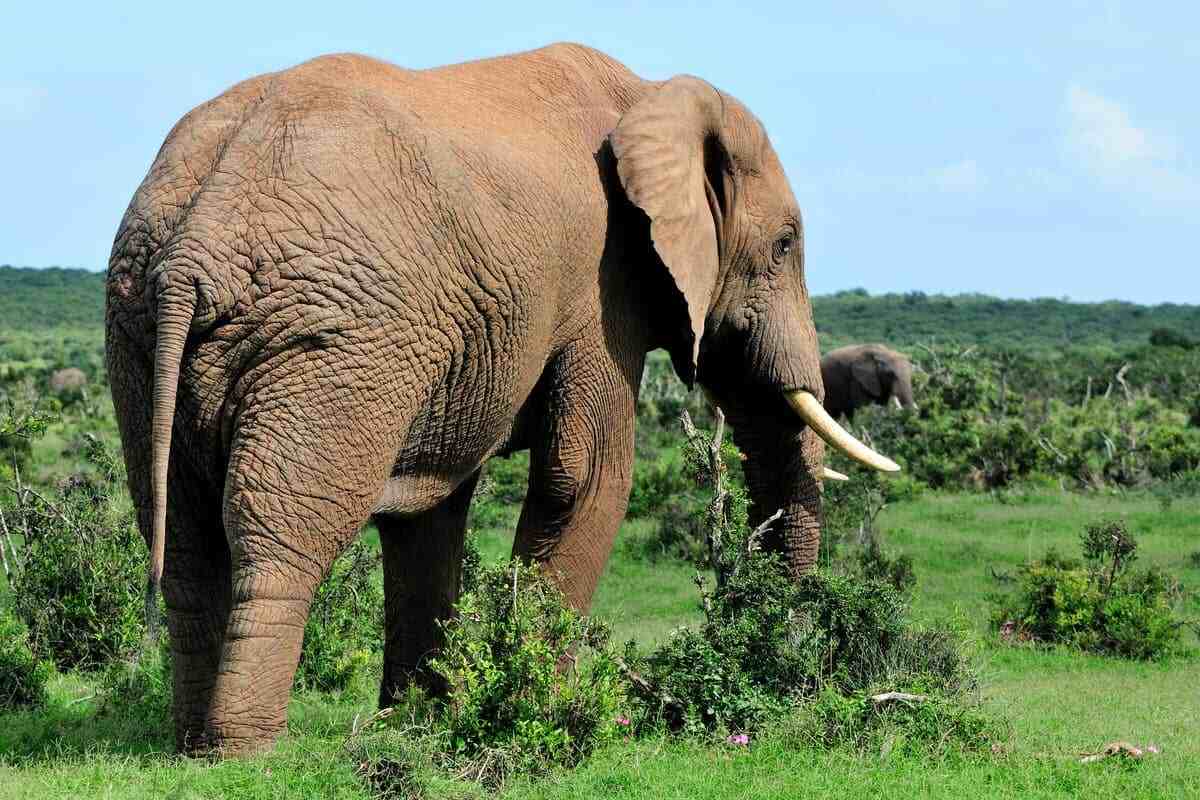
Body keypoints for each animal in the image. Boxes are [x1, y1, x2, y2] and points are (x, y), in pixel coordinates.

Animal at [105, 43, 897, 755]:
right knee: (280, 536)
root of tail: (195, 247)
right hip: (328, 342)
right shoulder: (601, 288)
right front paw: (550, 709)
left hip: (142, 333)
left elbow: (427, 510)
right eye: (786, 246)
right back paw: (245, 752)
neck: (648, 93)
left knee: (185, 542)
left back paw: (191, 746)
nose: (775, 659)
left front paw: (416, 721)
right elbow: (586, 478)